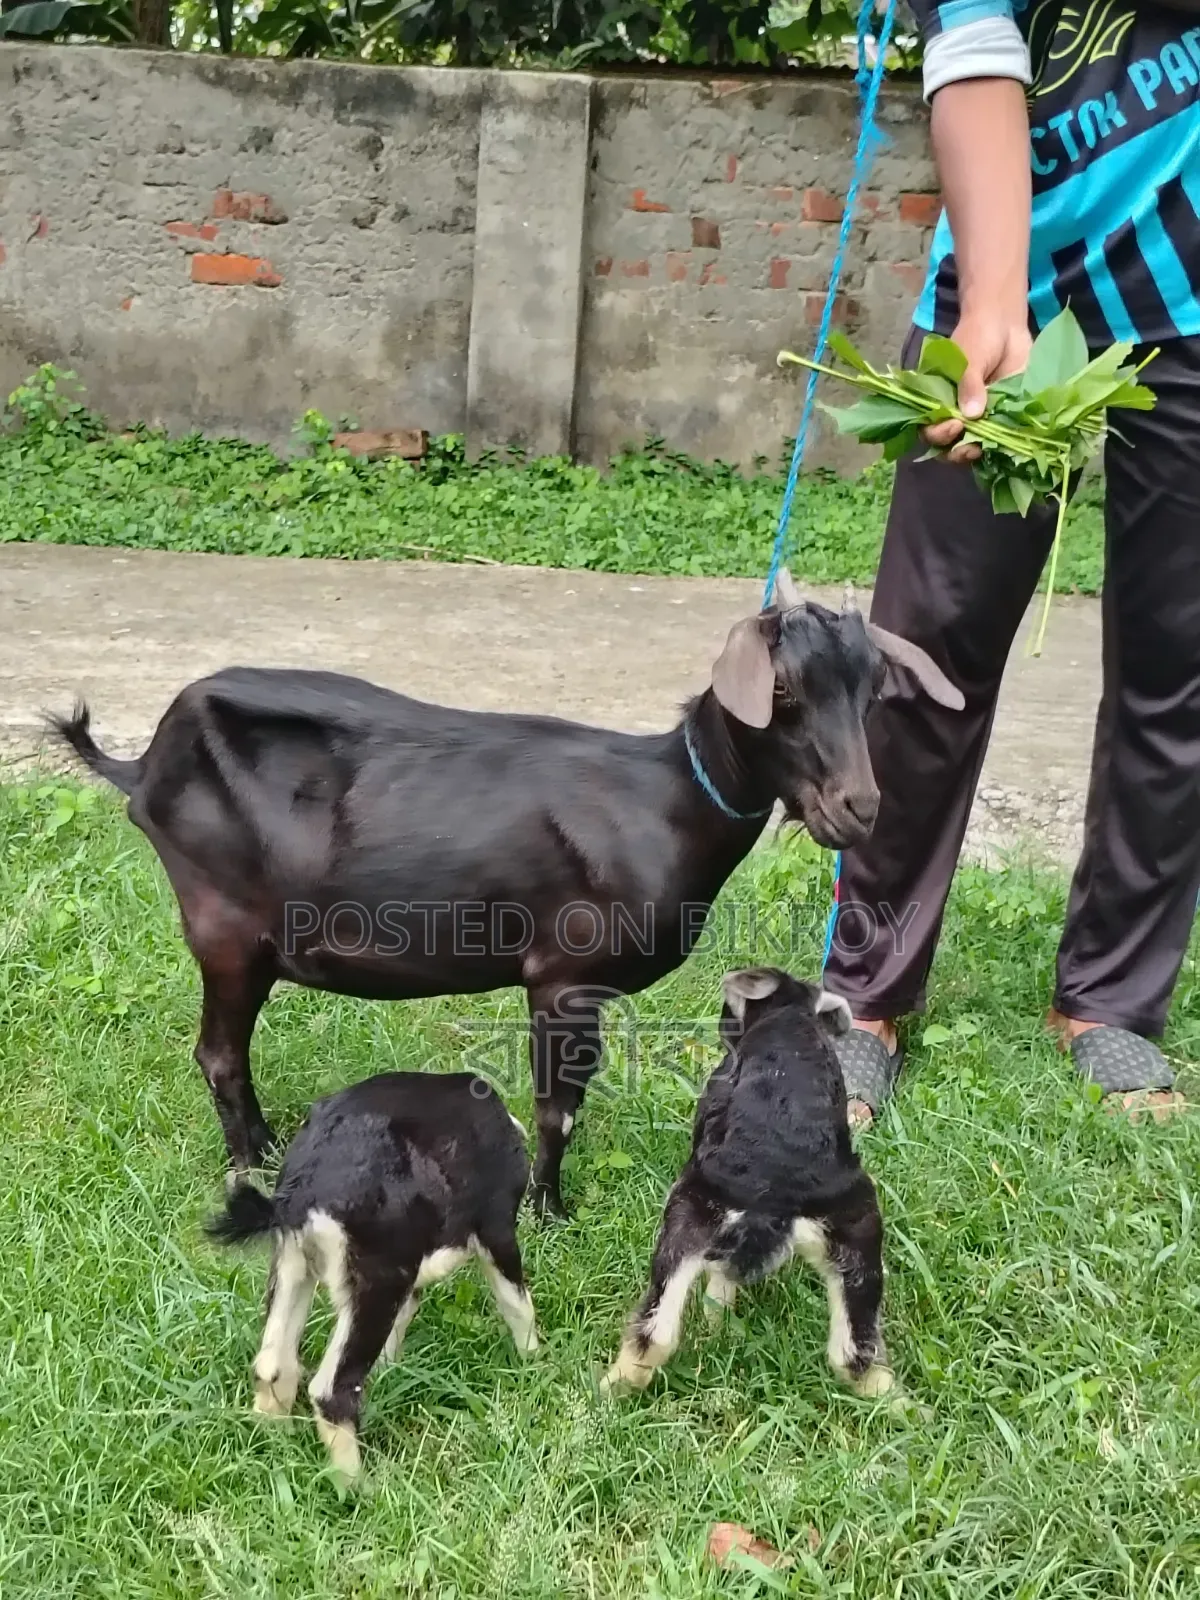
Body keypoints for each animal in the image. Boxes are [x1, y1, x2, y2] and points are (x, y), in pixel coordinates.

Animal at [51, 571, 962, 1216]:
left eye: (872, 692)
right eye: (781, 692)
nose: (859, 807)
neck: (667, 801)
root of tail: (143, 765)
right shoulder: (562, 977)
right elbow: (556, 1108)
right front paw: (547, 1212)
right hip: (225, 927)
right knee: (218, 1053)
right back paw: (251, 1169)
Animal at [206, 1071, 537, 1483]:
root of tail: (299, 1192)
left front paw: (389, 1372)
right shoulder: (495, 1228)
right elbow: (516, 1301)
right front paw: (535, 1363)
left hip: (294, 1267)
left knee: (273, 1364)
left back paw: (275, 1450)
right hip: (375, 1282)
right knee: (331, 1391)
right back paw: (360, 1487)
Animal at [602, 966, 892, 1399]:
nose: (722, 1026)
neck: (790, 1017)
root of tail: (776, 1190)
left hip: (686, 1211)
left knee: (658, 1326)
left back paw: (612, 1387)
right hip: (859, 1239)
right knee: (856, 1355)